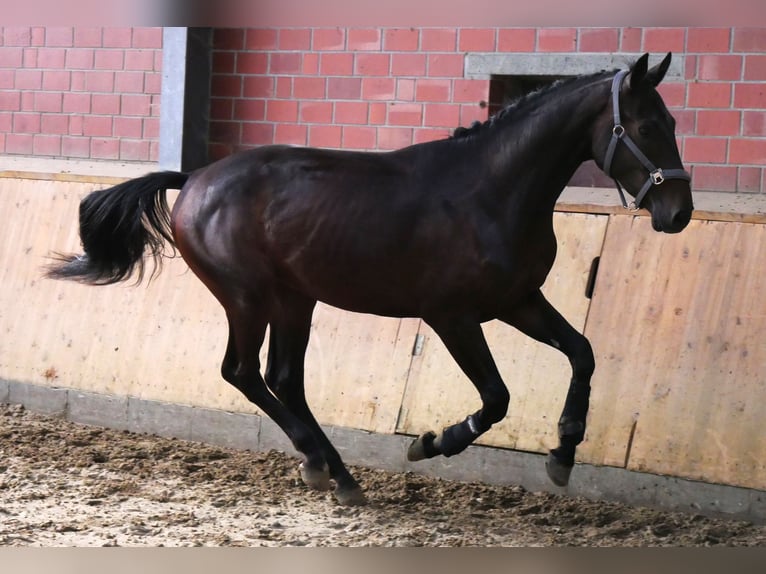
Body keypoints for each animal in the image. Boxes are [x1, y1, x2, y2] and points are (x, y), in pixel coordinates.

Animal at [48, 51, 696, 506]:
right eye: (644, 125)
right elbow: (496, 398)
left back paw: (334, 472)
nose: (678, 213)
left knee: (283, 379)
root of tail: (195, 179)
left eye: (671, 121)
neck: (491, 192)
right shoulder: (452, 316)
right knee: (243, 372)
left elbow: (582, 353)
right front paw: (431, 442)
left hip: (295, 300)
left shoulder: (518, 300)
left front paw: (563, 453)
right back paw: (324, 466)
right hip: (247, 297)